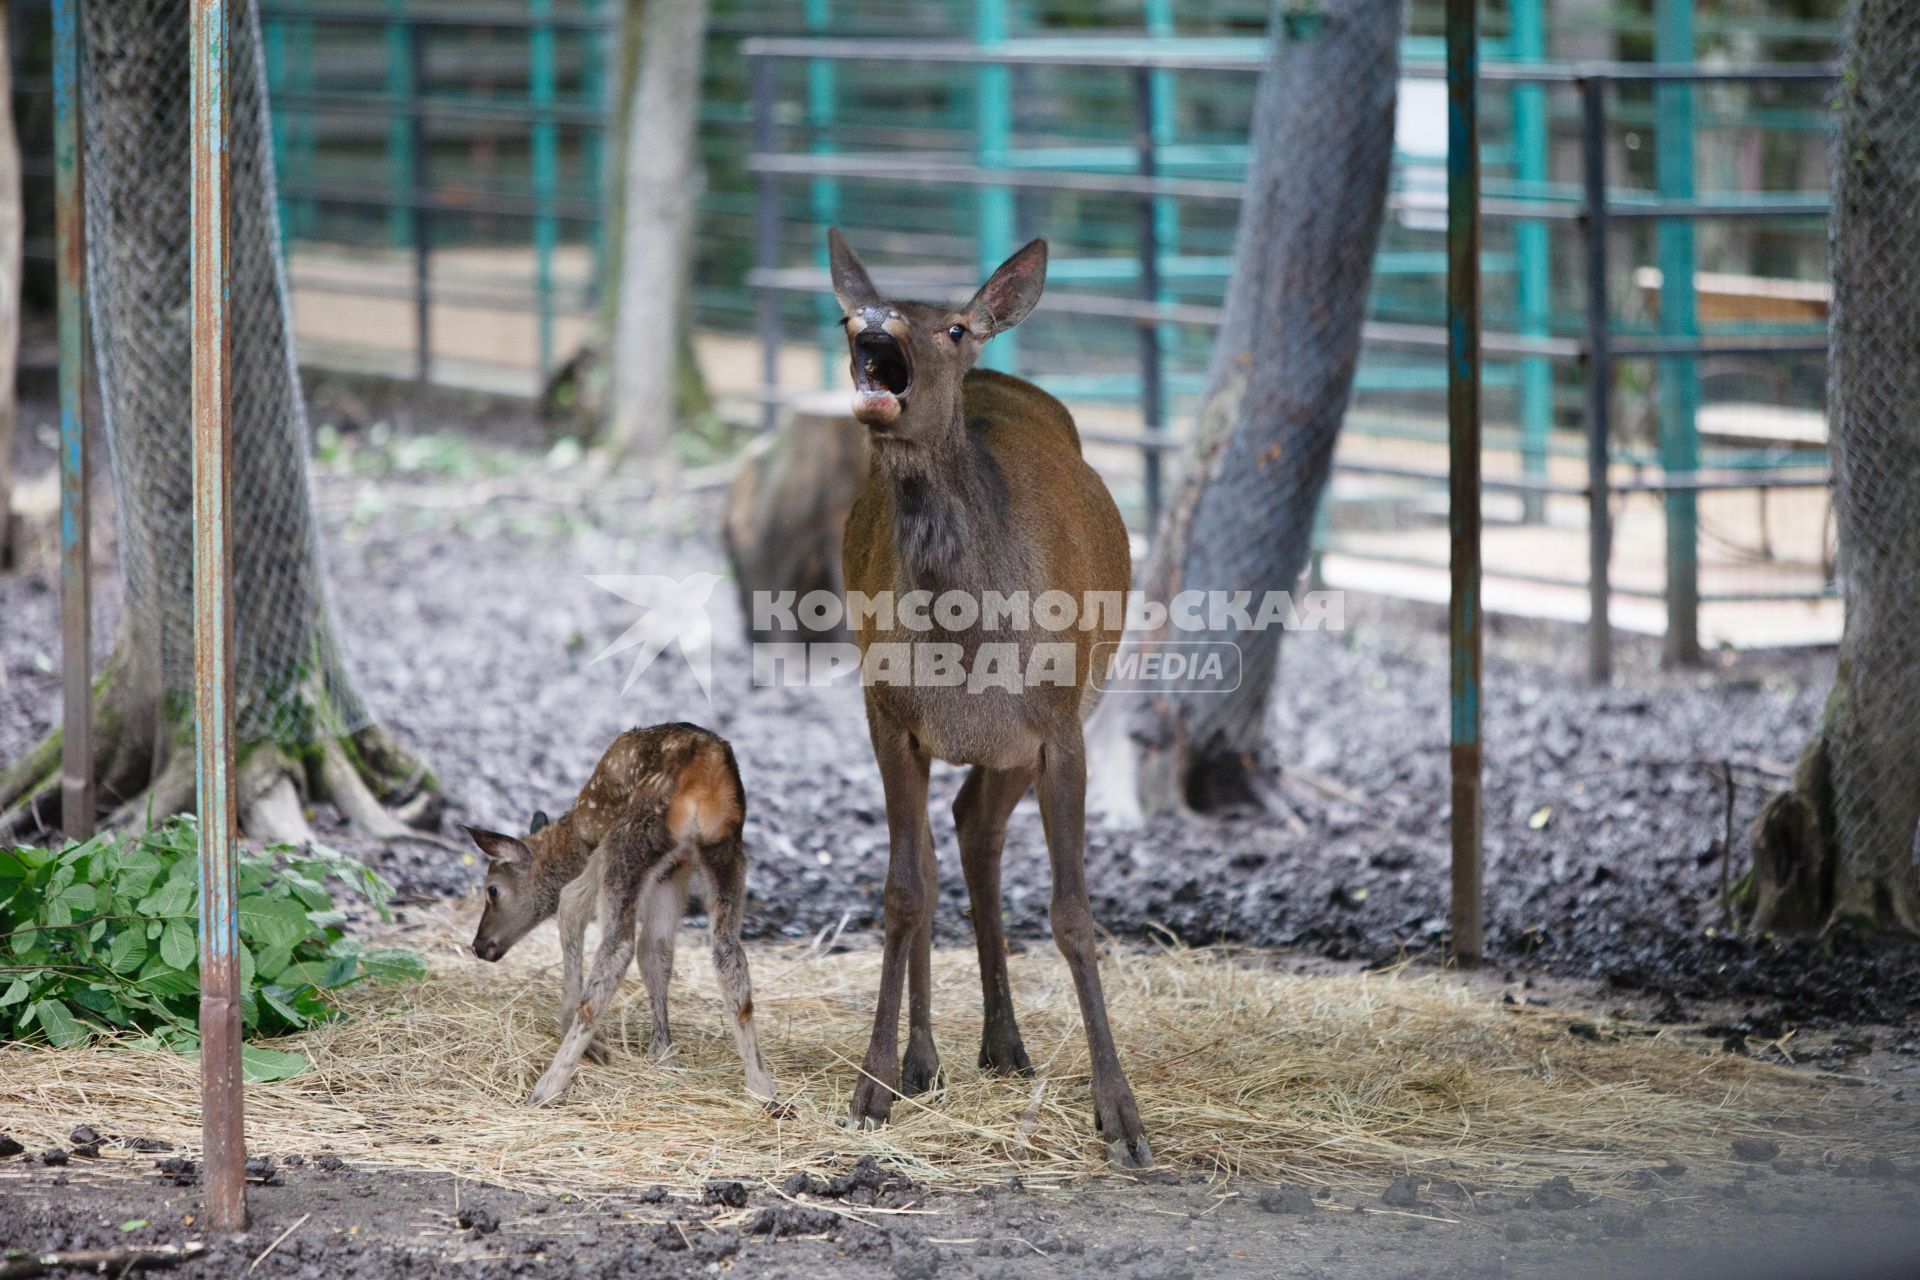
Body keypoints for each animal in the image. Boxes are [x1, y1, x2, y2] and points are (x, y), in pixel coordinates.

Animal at [829, 225, 1152, 1166]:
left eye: (956, 329)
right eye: (844, 314)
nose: (874, 318)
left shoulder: (1057, 728)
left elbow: (1074, 912)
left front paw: (1122, 1116)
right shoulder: (888, 716)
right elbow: (903, 892)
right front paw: (872, 1088)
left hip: (1047, 721)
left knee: (975, 826)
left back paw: (1003, 1042)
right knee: (947, 849)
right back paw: (932, 1056)